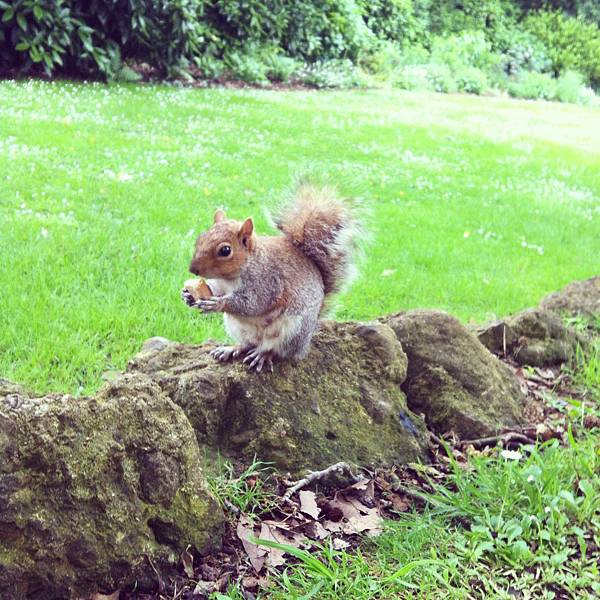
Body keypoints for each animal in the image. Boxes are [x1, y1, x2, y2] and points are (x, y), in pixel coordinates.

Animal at [180, 180, 358, 372]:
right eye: (200, 238)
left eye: (225, 250)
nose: (193, 269)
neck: (233, 277)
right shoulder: (221, 284)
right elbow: (213, 290)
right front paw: (187, 295)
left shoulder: (267, 281)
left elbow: (253, 303)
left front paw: (218, 304)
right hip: (237, 328)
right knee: (247, 344)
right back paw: (232, 348)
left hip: (292, 331)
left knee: (276, 350)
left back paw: (262, 356)